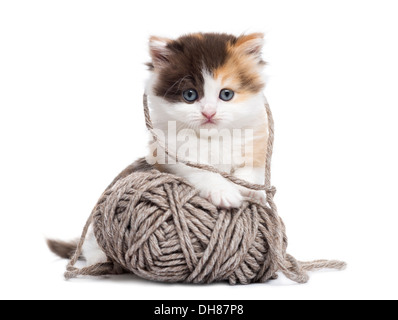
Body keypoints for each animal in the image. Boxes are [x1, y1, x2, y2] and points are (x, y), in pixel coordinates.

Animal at [81, 31, 268, 264]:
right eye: (190, 95)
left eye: (226, 94)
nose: (209, 113)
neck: (212, 138)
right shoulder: (170, 153)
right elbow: (202, 171)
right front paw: (224, 192)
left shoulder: (255, 140)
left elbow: (253, 168)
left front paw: (250, 190)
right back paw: (100, 258)